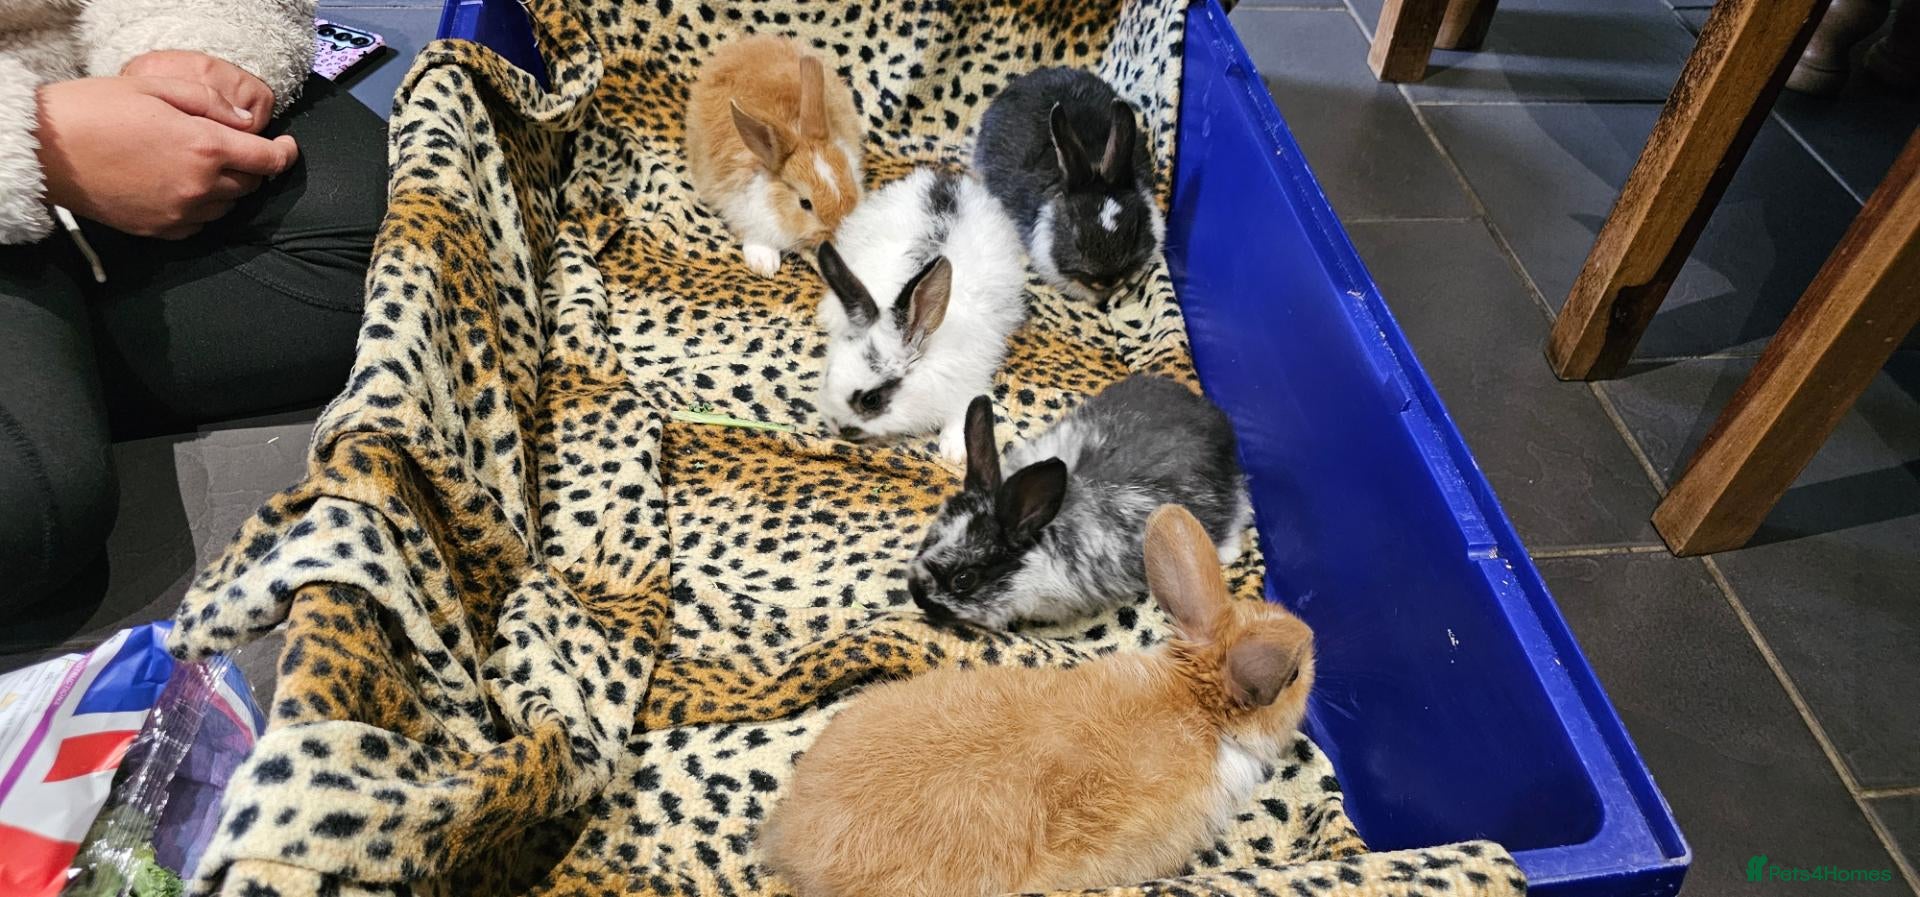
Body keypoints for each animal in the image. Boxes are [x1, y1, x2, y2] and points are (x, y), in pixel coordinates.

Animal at [815, 168, 1028, 462]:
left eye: (871, 400)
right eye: (828, 374)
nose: (835, 426)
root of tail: (944, 180)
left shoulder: (967, 381)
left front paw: (954, 452)